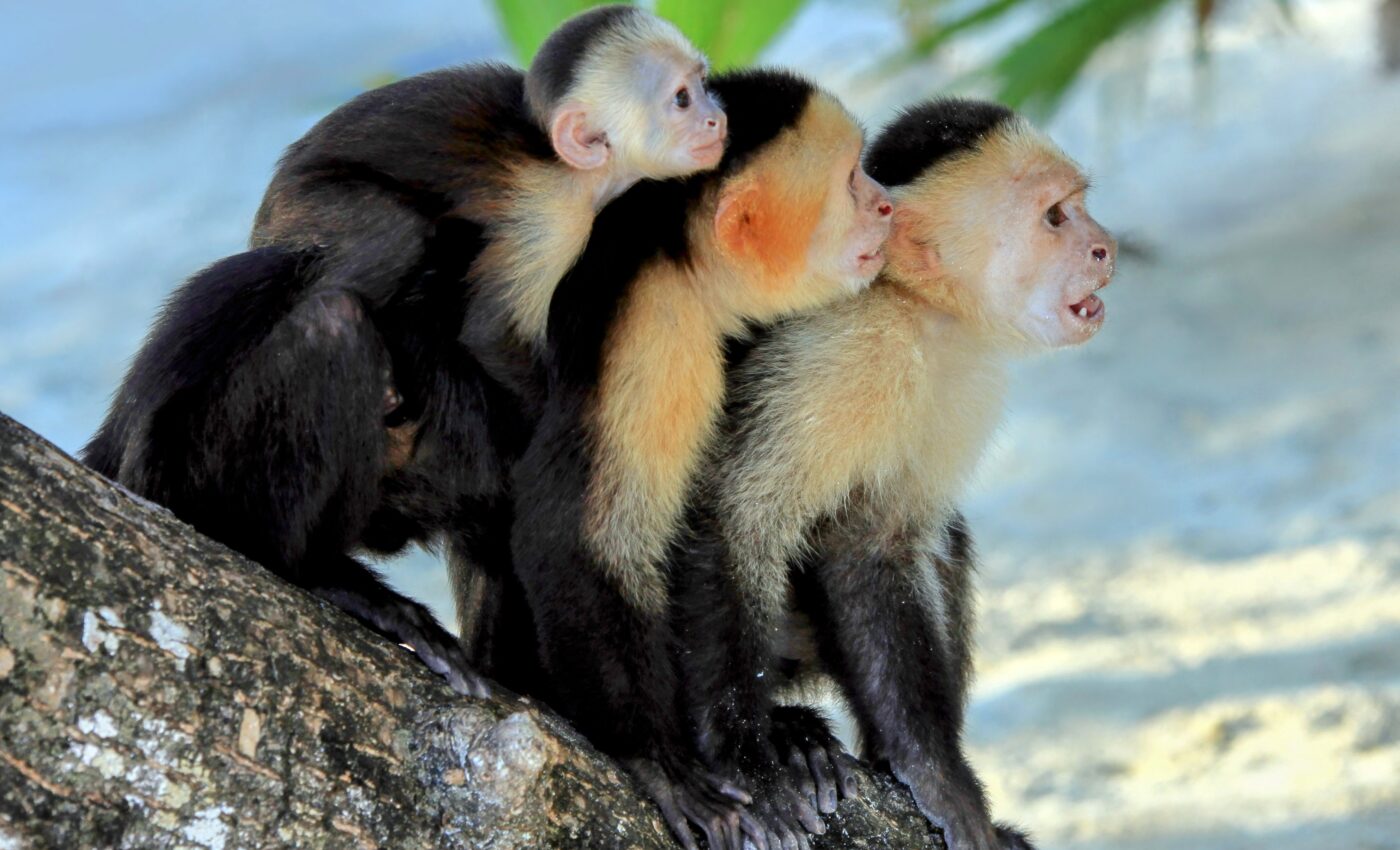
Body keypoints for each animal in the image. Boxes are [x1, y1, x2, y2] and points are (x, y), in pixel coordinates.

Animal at [80, 6, 726, 700]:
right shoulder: (550, 214)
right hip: (311, 210)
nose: (716, 118)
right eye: (681, 99)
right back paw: (322, 567)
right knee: (379, 256)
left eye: (703, 84)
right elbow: (492, 332)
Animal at [508, 68, 892, 850]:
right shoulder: (655, 333)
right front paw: (666, 757)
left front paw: (766, 736)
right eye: (850, 180)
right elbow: (575, 532)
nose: (886, 203)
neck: (689, 269)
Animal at [672, 98, 1117, 850]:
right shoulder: (844, 353)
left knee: (944, 541)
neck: (913, 308)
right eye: (1056, 217)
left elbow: (875, 544)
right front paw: (752, 760)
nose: (1106, 246)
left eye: (1078, 207)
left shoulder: (960, 378)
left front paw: (920, 765)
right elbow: (735, 515)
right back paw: (780, 736)